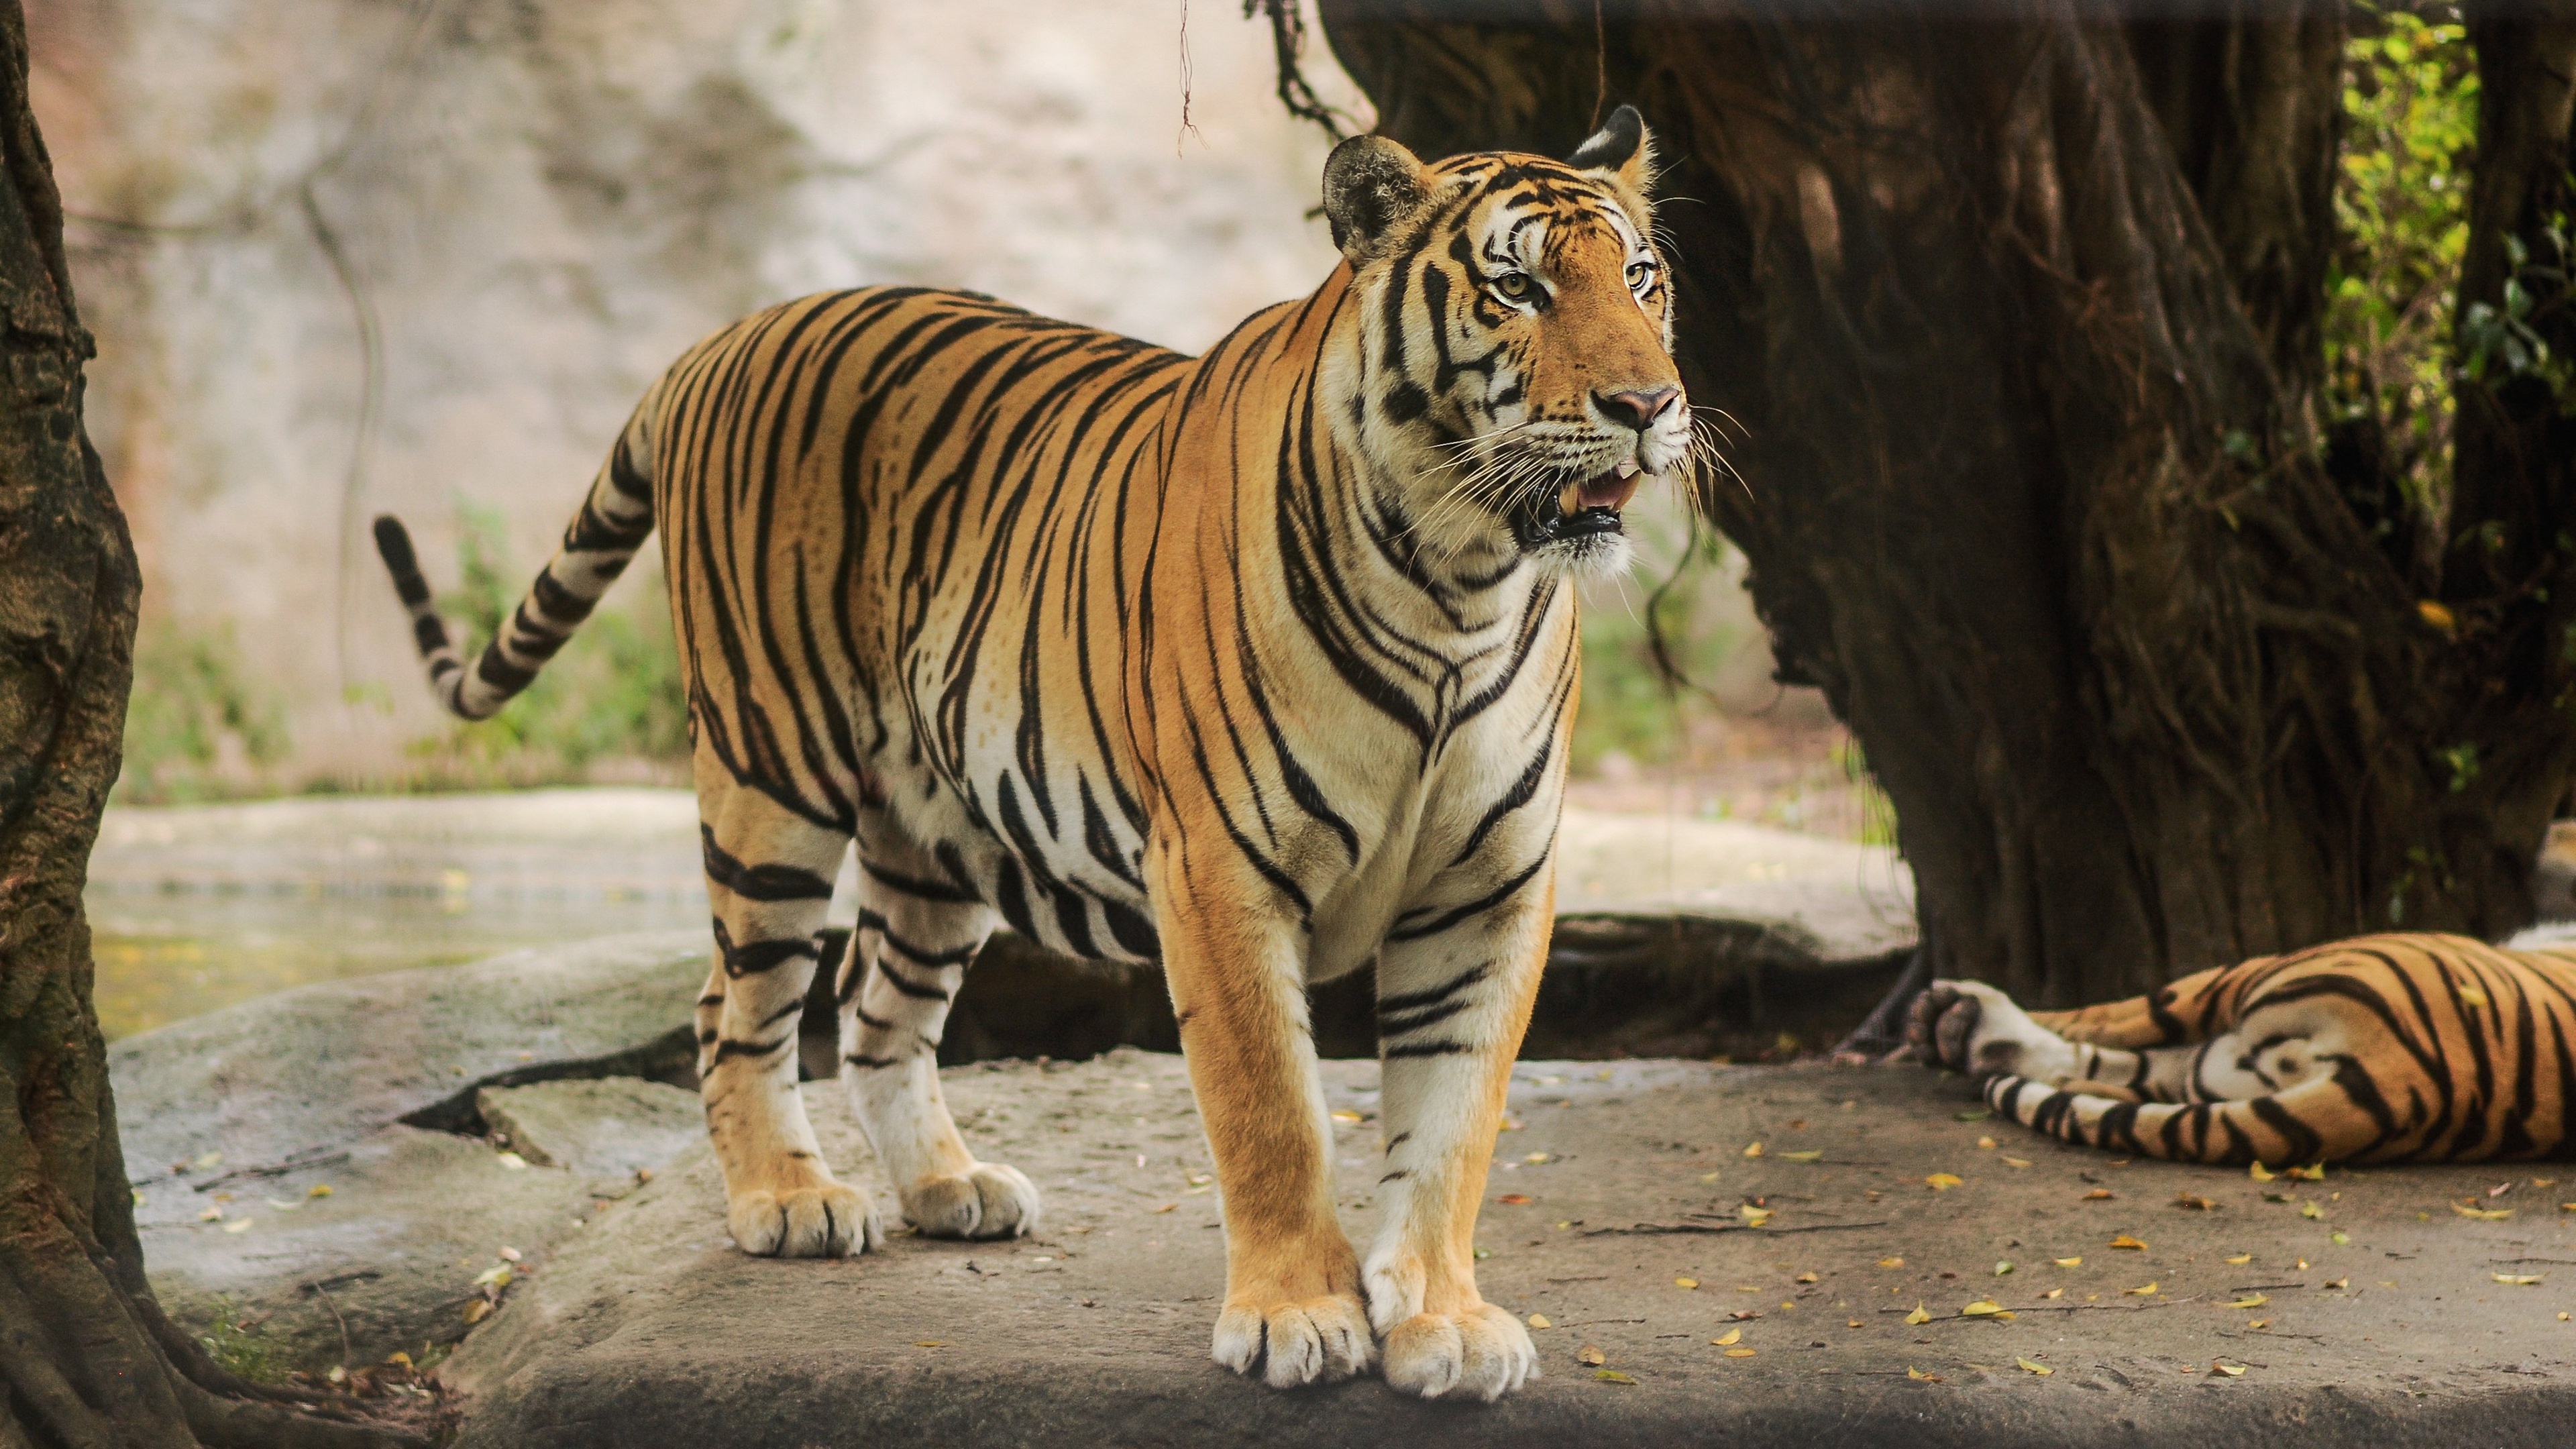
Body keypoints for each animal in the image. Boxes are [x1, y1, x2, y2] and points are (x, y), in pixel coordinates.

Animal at [368, 107, 1690, 1392]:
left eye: (1640, 279)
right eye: (1517, 288)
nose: (1647, 407)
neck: (1462, 580)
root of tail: (723, 338)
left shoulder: (1490, 883)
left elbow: (1455, 1119)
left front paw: (1444, 1322)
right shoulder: (1220, 869)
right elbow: (1273, 1109)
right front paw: (1297, 1318)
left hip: (936, 826)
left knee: (874, 1004)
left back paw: (947, 1187)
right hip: (769, 770)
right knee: (733, 1005)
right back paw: (790, 1200)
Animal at [1906, 922, 2576, 1160]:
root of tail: (2410, 1084)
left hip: (2258, 972)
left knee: (2110, 1021)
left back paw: (1957, 1020)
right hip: (2225, 1062)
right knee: (2124, 1068)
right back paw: (1965, 1032)